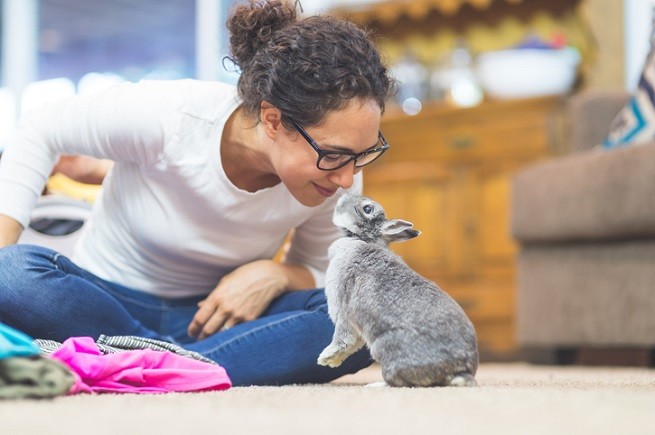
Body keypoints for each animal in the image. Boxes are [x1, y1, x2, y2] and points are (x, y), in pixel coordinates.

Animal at [317, 193, 479, 387]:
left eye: (367, 208)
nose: (344, 195)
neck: (360, 239)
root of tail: (459, 371)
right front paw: (332, 362)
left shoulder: (343, 312)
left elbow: (343, 339)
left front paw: (324, 358)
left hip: (384, 350)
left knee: (399, 382)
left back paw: (376, 386)